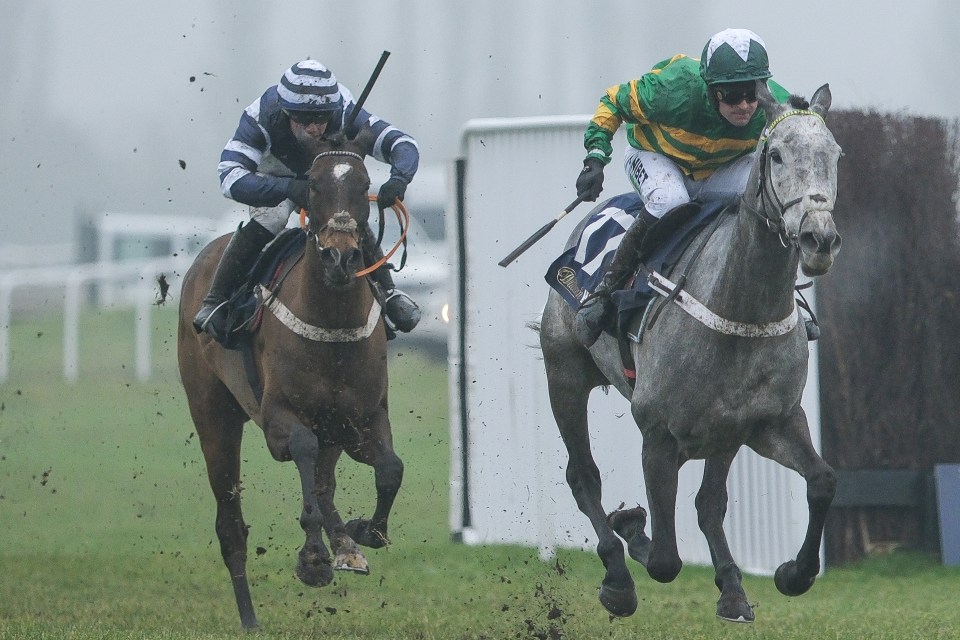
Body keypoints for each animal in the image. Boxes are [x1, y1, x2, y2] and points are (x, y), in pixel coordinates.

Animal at [177, 131, 402, 632]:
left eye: (364, 184)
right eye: (313, 185)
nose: (341, 256)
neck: (332, 323)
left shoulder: (362, 417)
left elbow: (390, 470)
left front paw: (362, 532)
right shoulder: (279, 419)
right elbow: (302, 454)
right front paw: (314, 558)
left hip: (331, 426)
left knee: (325, 480)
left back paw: (345, 544)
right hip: (213, 414)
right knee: (231, 523)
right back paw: (249, 618)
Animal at [540, 82, 840, 624]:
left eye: (835, 154)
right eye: (776, 154)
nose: (819, 239)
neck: (740, 310)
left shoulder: (766, 422)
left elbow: (821, 481)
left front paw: (792, 574)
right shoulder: (658, 432)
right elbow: (663, 559)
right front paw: (631, 531)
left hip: (721, 436)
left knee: (707, 503)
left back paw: (732, 588)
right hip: (564, 373)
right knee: (583, 476)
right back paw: (618, 574)